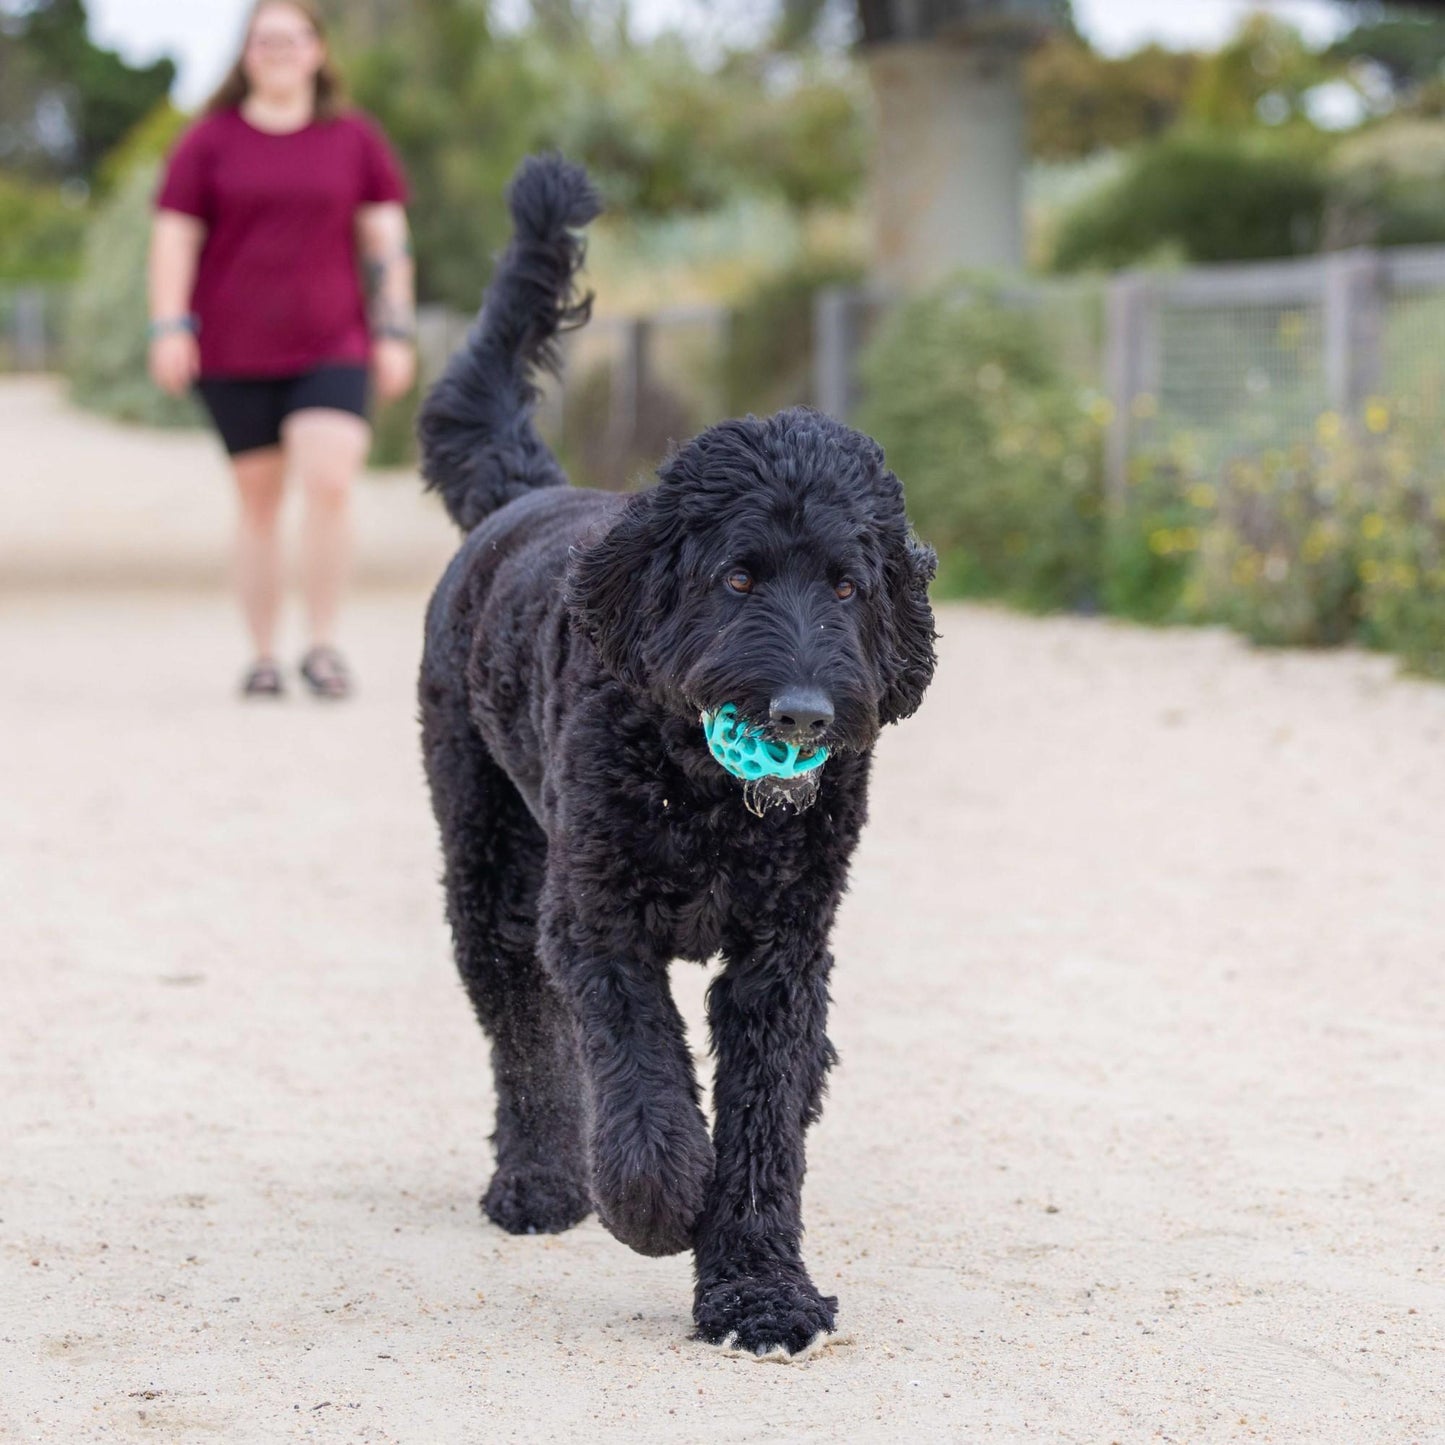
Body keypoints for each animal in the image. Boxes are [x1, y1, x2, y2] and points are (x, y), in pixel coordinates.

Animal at [419, 158, 936, 1364]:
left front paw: (759, 1290)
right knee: (527, 1031)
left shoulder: (781, 958)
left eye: (846, 583)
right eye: (738, 576)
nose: (799, 711)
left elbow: (762, 1130)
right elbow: (644, 1074)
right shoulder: (598, 922)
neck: (706, 799)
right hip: (490, 873)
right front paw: (657, 1201)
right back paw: (543, 1181)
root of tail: (522, 493)